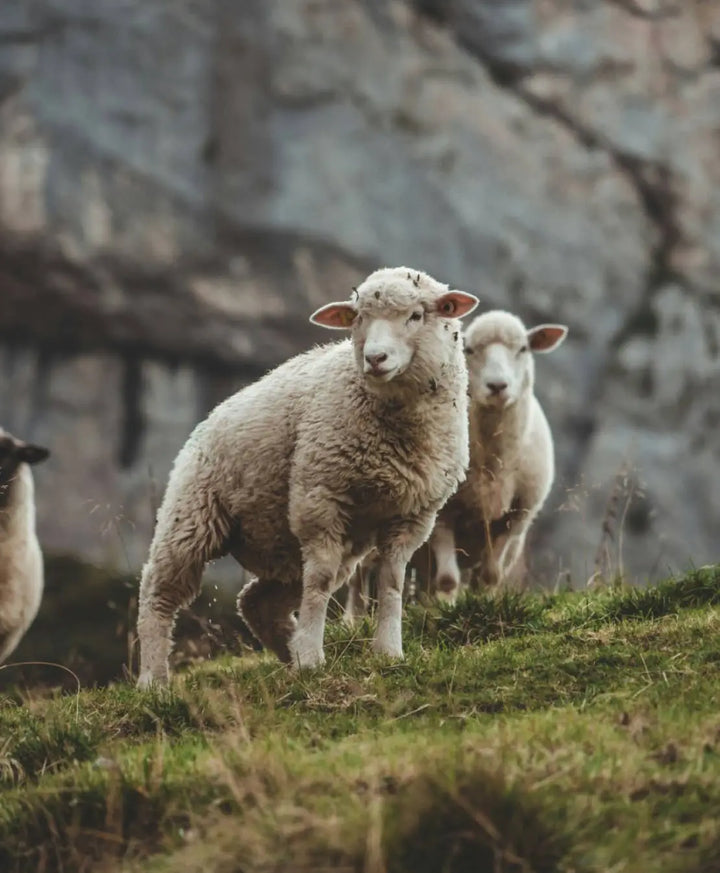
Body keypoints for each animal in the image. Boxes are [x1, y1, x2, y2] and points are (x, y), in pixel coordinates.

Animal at [136, 267, 478, 686]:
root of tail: (208, 419)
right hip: (192, 514)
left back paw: (289, 651)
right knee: (159, 593)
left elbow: (392, 580)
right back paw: (153, 680)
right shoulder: (320, 495)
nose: (375, 358)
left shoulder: (414, 513)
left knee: (256, 602)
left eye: (416, 315)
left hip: (281, 542)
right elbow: (319, 580)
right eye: (358, 318)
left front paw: (387, 652)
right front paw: (313, 659)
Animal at [426, 310, 567, 600]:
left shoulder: (513, 519)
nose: (498, 386)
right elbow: (447, 579)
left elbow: (490, 576)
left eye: (523, 348)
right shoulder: (442, 515)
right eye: (469, 349)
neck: (493, 463)